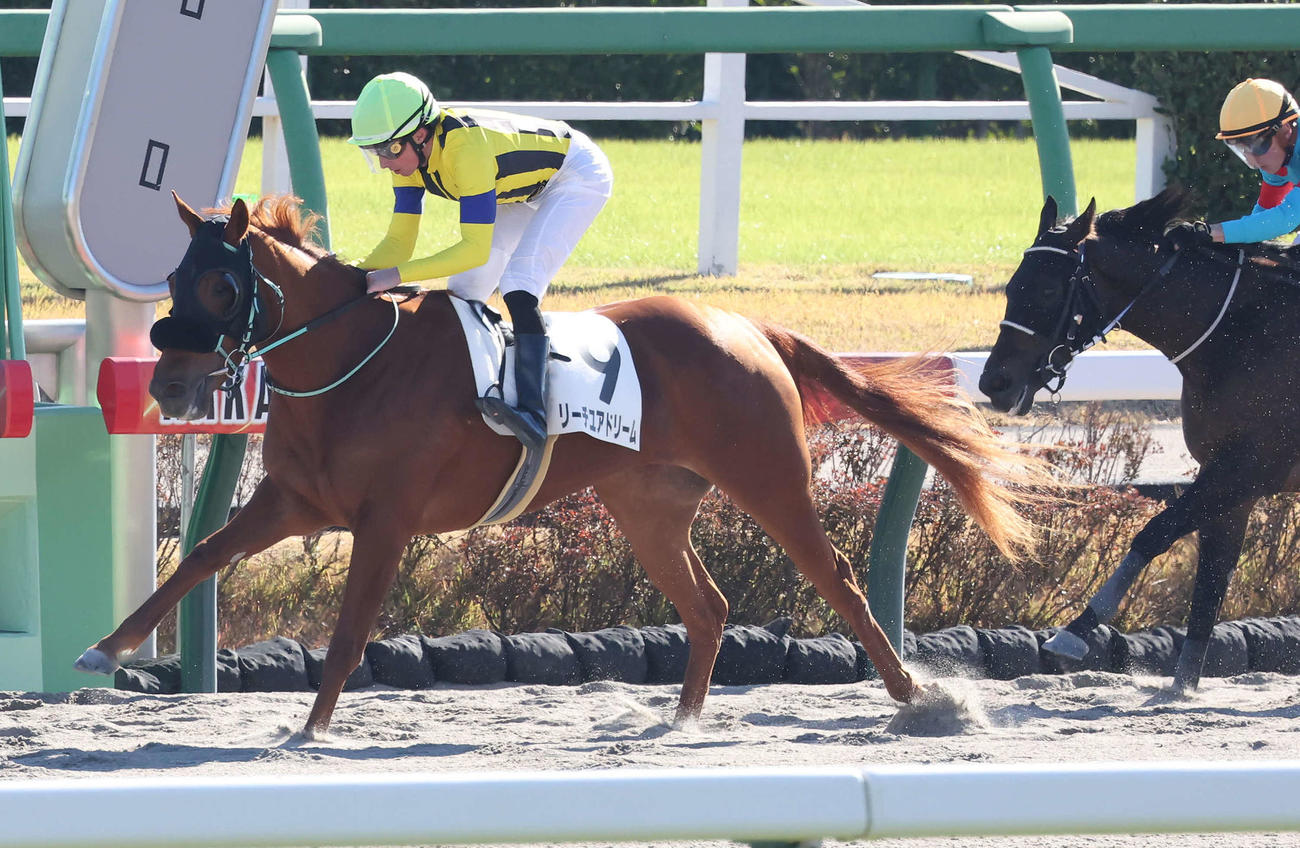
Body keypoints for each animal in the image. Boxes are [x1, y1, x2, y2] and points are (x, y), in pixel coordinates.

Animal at [78, 192, 1045, 738]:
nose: (165, 381)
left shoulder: (385, 519)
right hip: (649, 504)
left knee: (839, 580)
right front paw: (105, 648)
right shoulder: (293, 501)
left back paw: (921, 699)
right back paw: (681, 720)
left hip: (770, 478)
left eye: (219, 286)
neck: (352, 364)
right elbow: (200, 558)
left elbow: (350, 630)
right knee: (708, 604)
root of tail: (748, 327)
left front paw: (309, 729)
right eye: (173, 278)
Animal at [979, 186, 1300, 695]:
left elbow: (1155, 532)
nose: (994, 382)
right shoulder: (1228, 478)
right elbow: (1211, 580)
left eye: (1049, 289)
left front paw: (1074, 632)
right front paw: (1181, 687)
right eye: (1012, 287)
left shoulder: (1247, 467)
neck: (1242, 333)